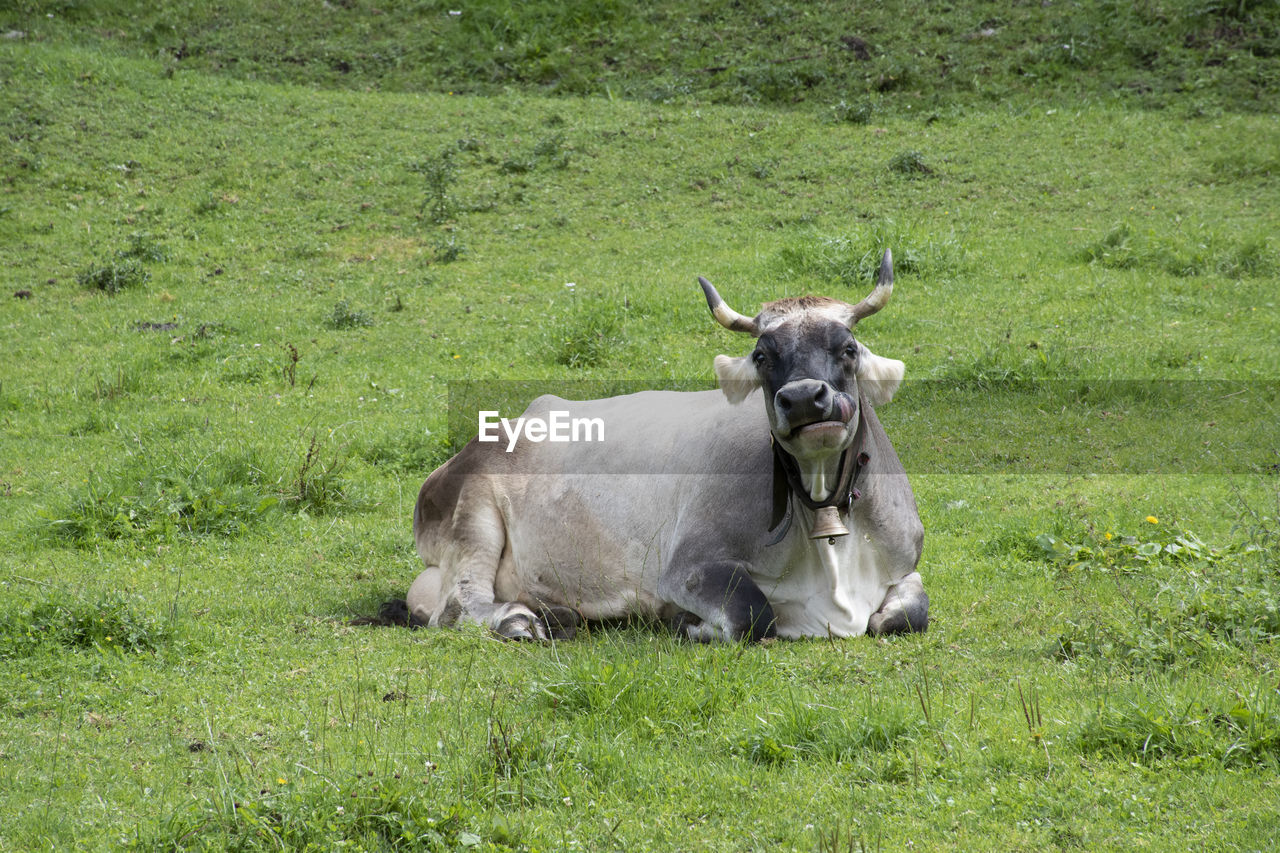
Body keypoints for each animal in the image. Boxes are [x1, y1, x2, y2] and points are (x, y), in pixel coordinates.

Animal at [394, 251, 926, 637]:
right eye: (761, 355)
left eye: (848, 348)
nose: (802, 399)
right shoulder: (688, 567)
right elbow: (752, 616)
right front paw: (689, 625)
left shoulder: (906, 563)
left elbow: (910, 614)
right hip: (472, 513)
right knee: (457, 604)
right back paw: (518, 619)